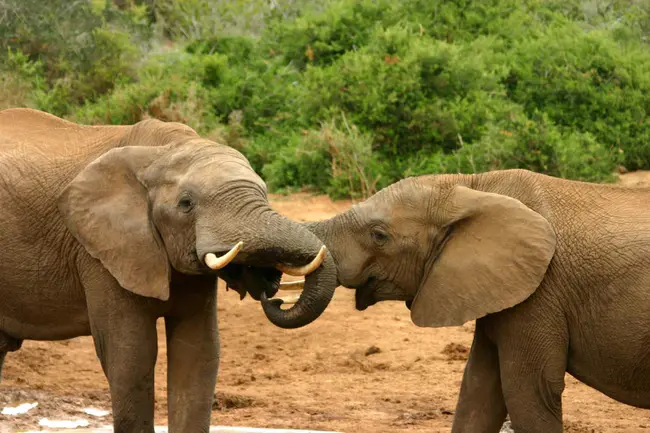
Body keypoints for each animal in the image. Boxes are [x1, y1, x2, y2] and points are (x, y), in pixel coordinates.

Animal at [0, 108, 334, 432]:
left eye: (264, 193)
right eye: (186, 204)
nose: (273, 295)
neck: (161, 152)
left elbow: (198, 352)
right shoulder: (100, 252)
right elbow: (132, 355)